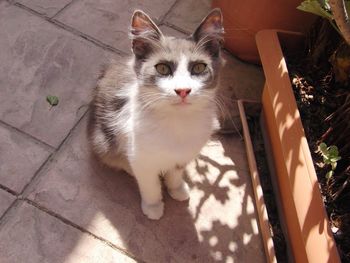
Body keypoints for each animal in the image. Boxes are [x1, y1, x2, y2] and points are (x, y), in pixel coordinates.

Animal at [87, 8, 224, 221]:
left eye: (199, 67)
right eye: (162, 68)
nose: (183, 90)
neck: (177, 122)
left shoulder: (184, 154)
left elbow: (175, 173)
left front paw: (177, 189)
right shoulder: (140, 155)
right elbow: (149, 184)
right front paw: (153, 207)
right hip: (103, 141)